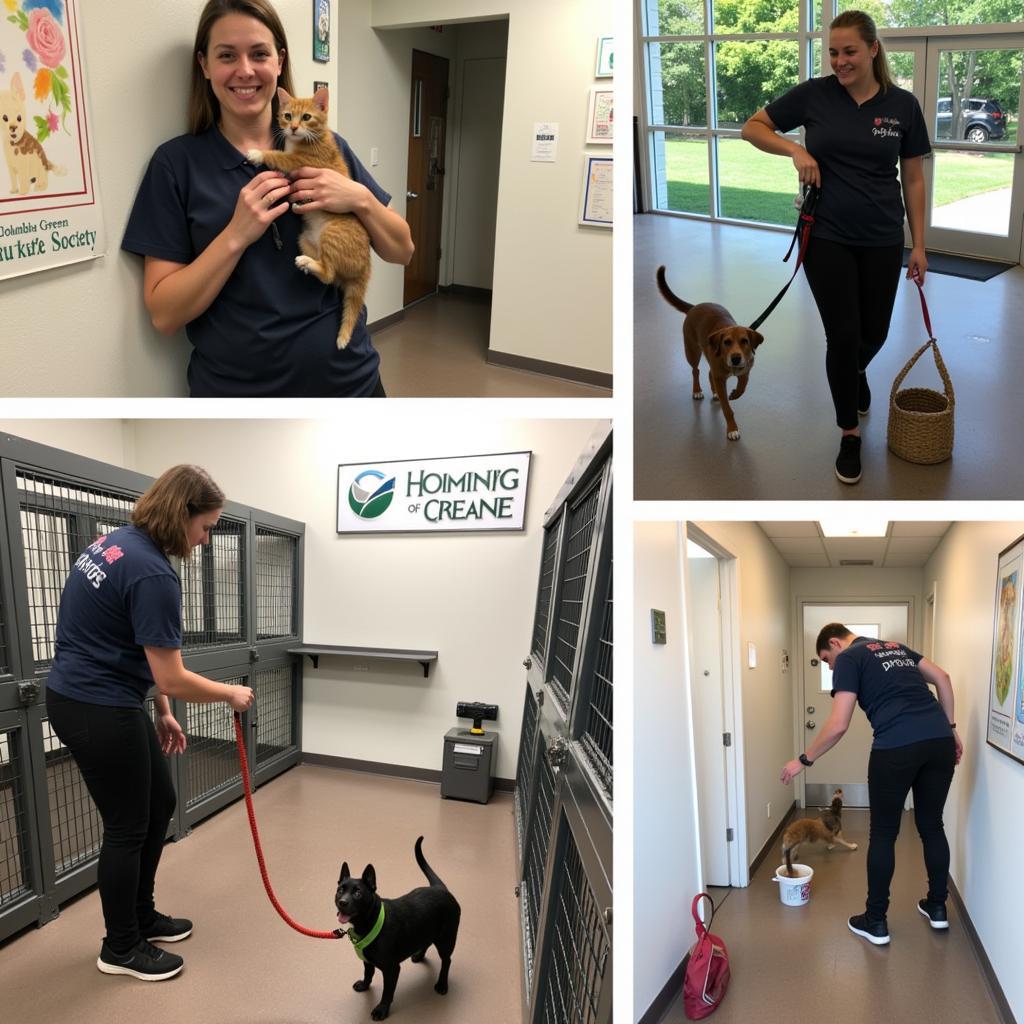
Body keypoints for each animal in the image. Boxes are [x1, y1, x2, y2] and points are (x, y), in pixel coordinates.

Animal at [247, 84, 372, 348]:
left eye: (306, 117)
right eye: (287, 116)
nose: (293, 128)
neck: (312, 137)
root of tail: (365, 267)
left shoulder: (300, 161)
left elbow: (278, 156)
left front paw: (257, 154)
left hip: (331, 234)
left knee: (329, 273)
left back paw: (308, 263)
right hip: (304, 238)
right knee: (329, 275)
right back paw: (307, 261)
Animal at [333, 835, 462, 1019]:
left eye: (358, 893)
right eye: (340, 890)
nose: (342, 902)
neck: (369, 922)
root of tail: (440, 888)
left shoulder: (392, 969)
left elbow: (387, 992)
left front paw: (381, 1010)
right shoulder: (367, 960)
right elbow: (368, 973)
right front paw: (365, 985)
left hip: (446, 939)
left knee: (447, 961)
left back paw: (442, 984)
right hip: (426, 930)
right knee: (426, 941)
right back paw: (419, 956)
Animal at [659, 264, 765, 440]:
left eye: (745, 341)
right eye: (726, 342)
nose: (736, 358)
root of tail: (694, 307)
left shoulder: (745, 370)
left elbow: (742, 386)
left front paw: (735, 393)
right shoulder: (720, 378)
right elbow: (727, 409)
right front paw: (732, 429)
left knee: (709, 373)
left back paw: (714, 392)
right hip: (692, 351)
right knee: (696, 370)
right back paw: (697, 391)